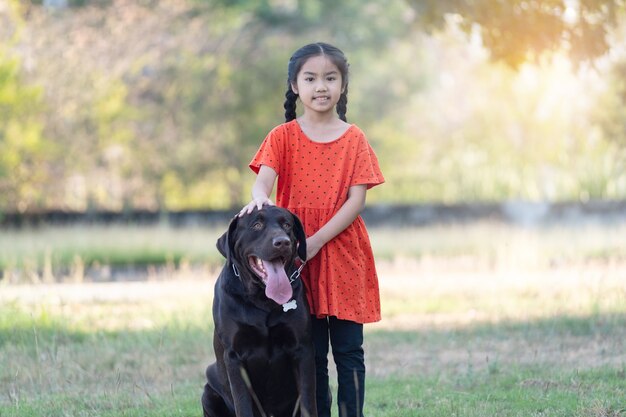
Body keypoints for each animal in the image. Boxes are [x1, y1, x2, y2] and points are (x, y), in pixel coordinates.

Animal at [201, 206, 316, 416]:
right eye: (256, 225)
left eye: (287, 225)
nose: (282, 242)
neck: (263, 298)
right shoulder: (234, 357)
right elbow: (243, 403)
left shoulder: (302, 349)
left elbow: (308, 401)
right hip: (208, 392)